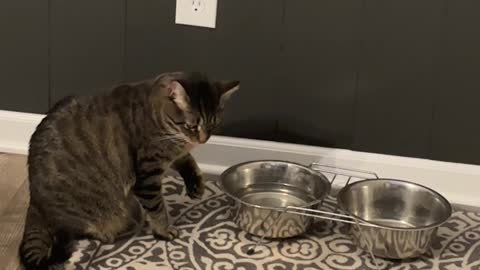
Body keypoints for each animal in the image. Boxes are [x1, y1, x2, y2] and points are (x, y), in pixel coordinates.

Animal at [18, 71, 240, 270]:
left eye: (214, 124)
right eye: (191, 125)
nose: (203, 139)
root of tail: (34, 203)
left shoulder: (175, 153)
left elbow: (189, 162)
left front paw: (196, 185)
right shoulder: (147, 174)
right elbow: (157, 208)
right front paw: (164, 230)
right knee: (81, 231)